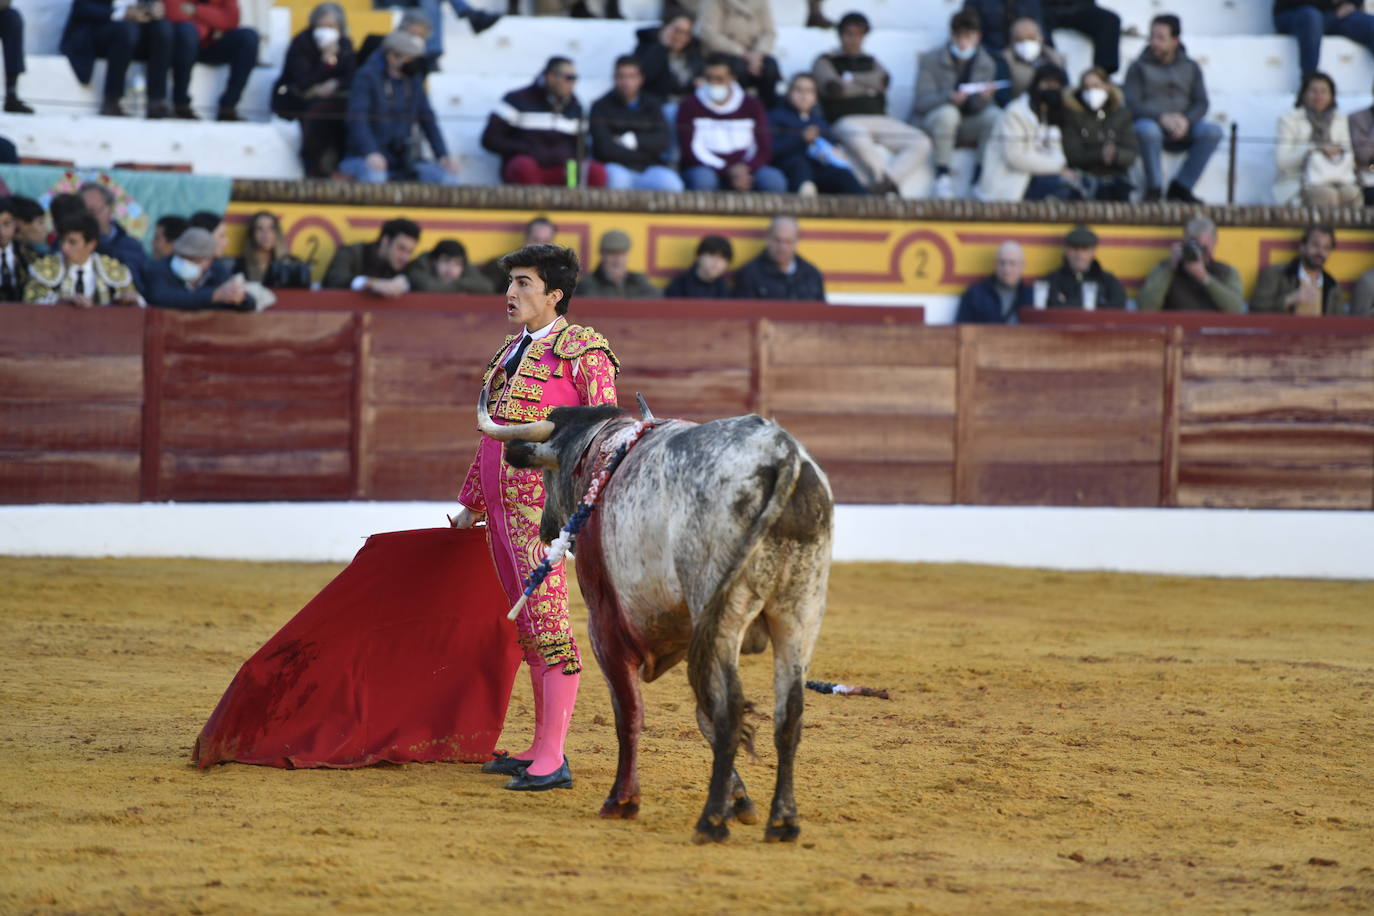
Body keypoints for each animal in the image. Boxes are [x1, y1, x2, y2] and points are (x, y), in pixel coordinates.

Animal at [478, 395, 829, 845]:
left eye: (546, 471)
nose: (546, 530)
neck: (602, 448)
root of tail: (780, 455)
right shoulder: (690, 634)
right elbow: (701, 714)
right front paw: (740, 800)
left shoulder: (606, 627)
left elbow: (629, 712)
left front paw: (622, 801)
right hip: (799, 613)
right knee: (789, 713)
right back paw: (783, 822)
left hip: (724, 614)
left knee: (730, 710)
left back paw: (710, 821)